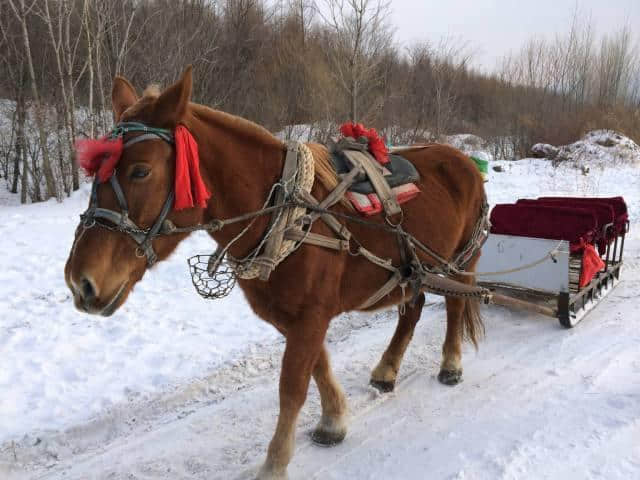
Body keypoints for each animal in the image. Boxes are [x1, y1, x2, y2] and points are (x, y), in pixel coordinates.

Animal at [63, 67, 484, 480]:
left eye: (140, 171)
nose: (80, 281)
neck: (284, 214)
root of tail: (464, 160)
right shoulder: (292, 317)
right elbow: (318, 366)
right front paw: (333, 421)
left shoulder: (311, 316)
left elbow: (292, 386)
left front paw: (276, 462)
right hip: (411, 271)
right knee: (413, 308)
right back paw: (387, 369)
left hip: (462, 263)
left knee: (455, 307)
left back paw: (451, 364)